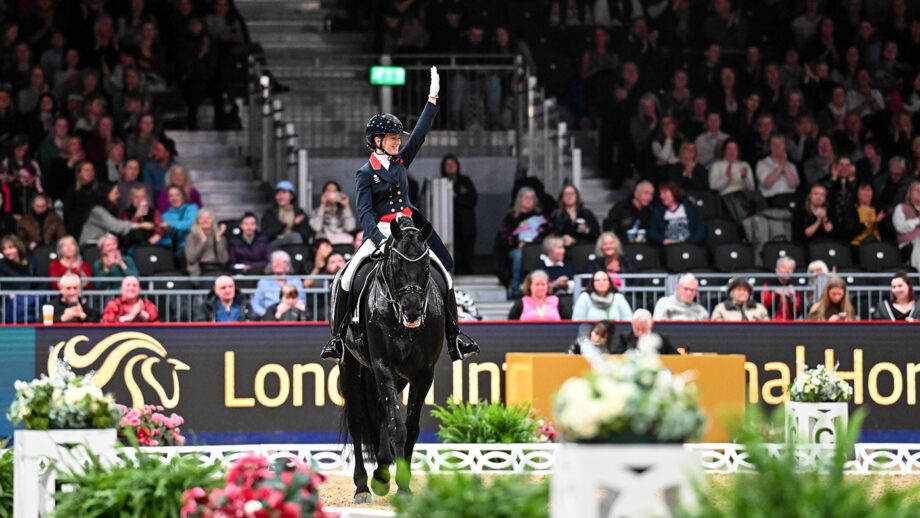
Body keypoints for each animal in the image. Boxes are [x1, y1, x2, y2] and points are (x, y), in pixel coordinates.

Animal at [338, 217, 446, 506]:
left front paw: (399, 482)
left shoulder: (424, 373)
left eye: (426, 264)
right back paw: (363, 486)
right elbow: (397, 426)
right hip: (350, 366)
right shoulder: (383, 365)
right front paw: (401, 487)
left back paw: (382, 473)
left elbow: (410, 426)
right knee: (358, 421)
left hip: (396, 378)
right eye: (396, 265)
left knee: (380, 412)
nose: (412, 309)